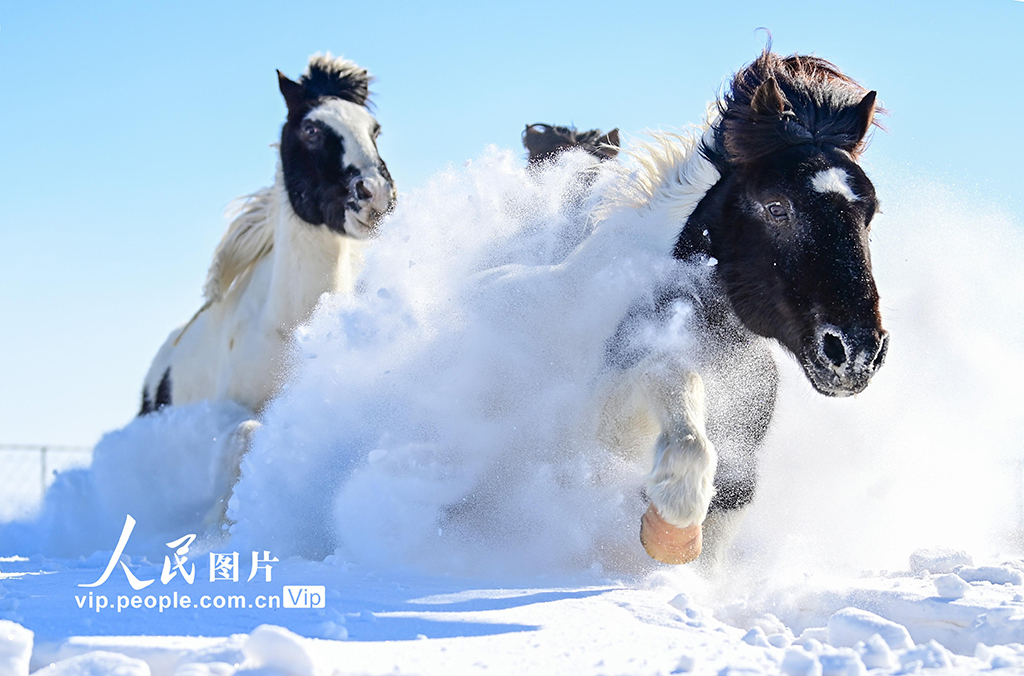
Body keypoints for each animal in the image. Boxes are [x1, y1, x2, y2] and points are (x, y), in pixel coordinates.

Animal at [586, 49, 888, 565]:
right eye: (776, 206)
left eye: (870, 213)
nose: (855, 353)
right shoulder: (604, 417)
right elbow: (676, 392)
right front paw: (672, 525)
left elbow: (730, 499)